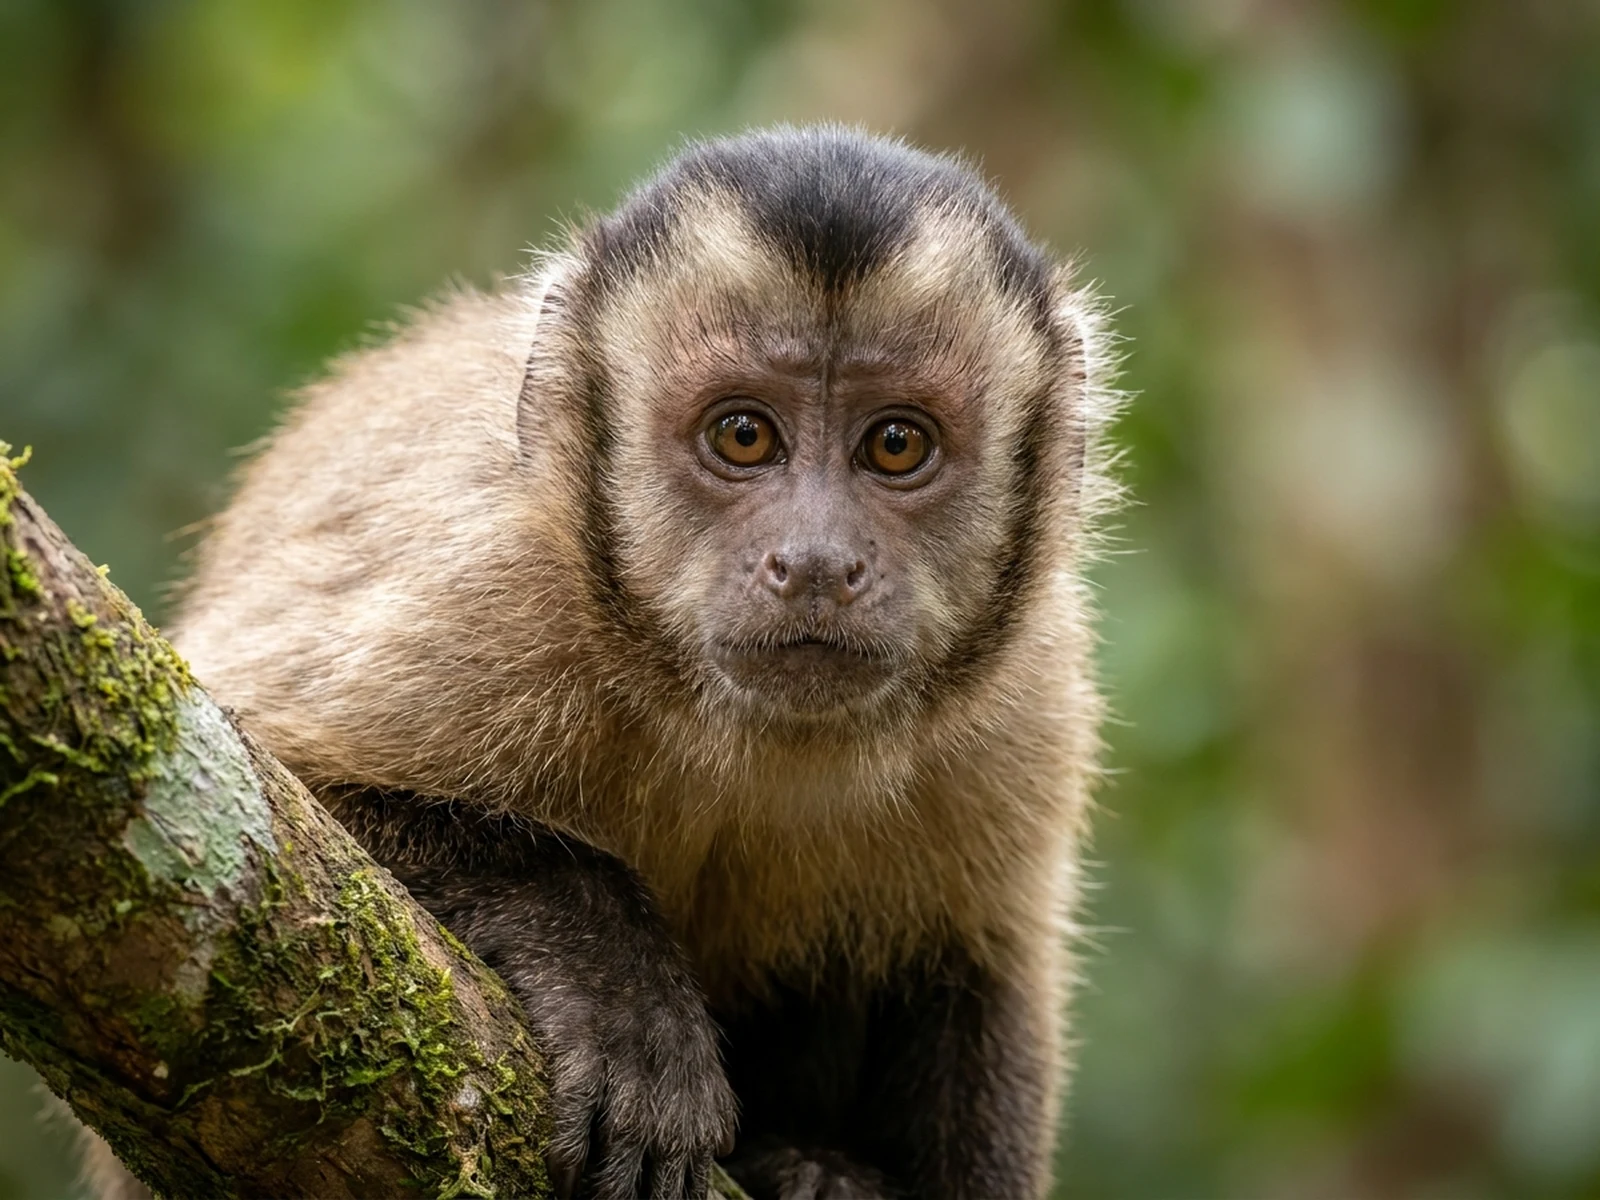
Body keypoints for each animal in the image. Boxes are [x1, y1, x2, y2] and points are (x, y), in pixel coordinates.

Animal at [77, 125, 1119, 1200]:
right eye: (744, 434)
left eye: (898, 444)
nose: (817, 562)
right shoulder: (491, 581)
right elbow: (269, 778)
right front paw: (609, 975)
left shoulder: (1031, 689)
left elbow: (977, 971)